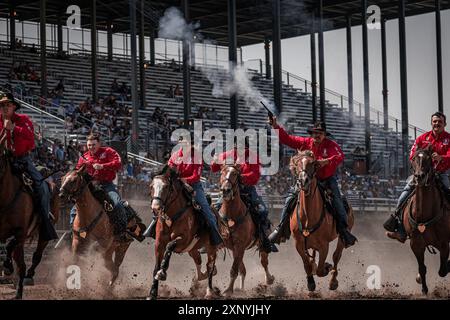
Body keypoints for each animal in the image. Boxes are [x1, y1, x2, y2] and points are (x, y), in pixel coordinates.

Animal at [0, 129, 59, 298]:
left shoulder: (21, 232)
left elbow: (9, 245)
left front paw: (7, 268)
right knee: (21, 264)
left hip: (44, 232)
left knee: (34, 257)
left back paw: (27, 278)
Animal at [149, 168, 220, 300]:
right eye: (151, 186)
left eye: (166, 186)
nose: (156, 207)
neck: (171, 217)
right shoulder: (159, 243)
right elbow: (156, 267)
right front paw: (152, 293)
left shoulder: (183, 239)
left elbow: (170, 246)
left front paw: (162, 272)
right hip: (193, 249)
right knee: (199, 263)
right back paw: (202, 277)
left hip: (211, 248)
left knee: (210, 266)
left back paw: (209, 292)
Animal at [218, 165, 274, 298]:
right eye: (222, 172)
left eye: (234, 173)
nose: (225, 190)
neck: (232, 215)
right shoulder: (233, 246)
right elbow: (238, 268)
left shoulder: (240, 245)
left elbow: (234, 270)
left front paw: (228, 291)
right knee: (243, 269)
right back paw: (241, 289)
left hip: (261, 245)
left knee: (264, 262)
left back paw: (269, 279)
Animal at [288, 151, 356, 292]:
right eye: (297, 164)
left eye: (314, 164)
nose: (303, 181)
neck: (308, 217)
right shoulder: (298, 244)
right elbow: (307, 264)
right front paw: (310, 282)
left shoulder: (324, 245)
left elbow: (320, 269)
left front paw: (326, 267)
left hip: (343, 236)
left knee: (336, 255)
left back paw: (333, 281)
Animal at [404, 146, 450, 294]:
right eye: (414, 158)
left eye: (429, 158)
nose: (419, 177)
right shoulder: (416, 244)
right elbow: (422, 268)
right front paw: (423, 287)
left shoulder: (444, 243)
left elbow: (442, 270)